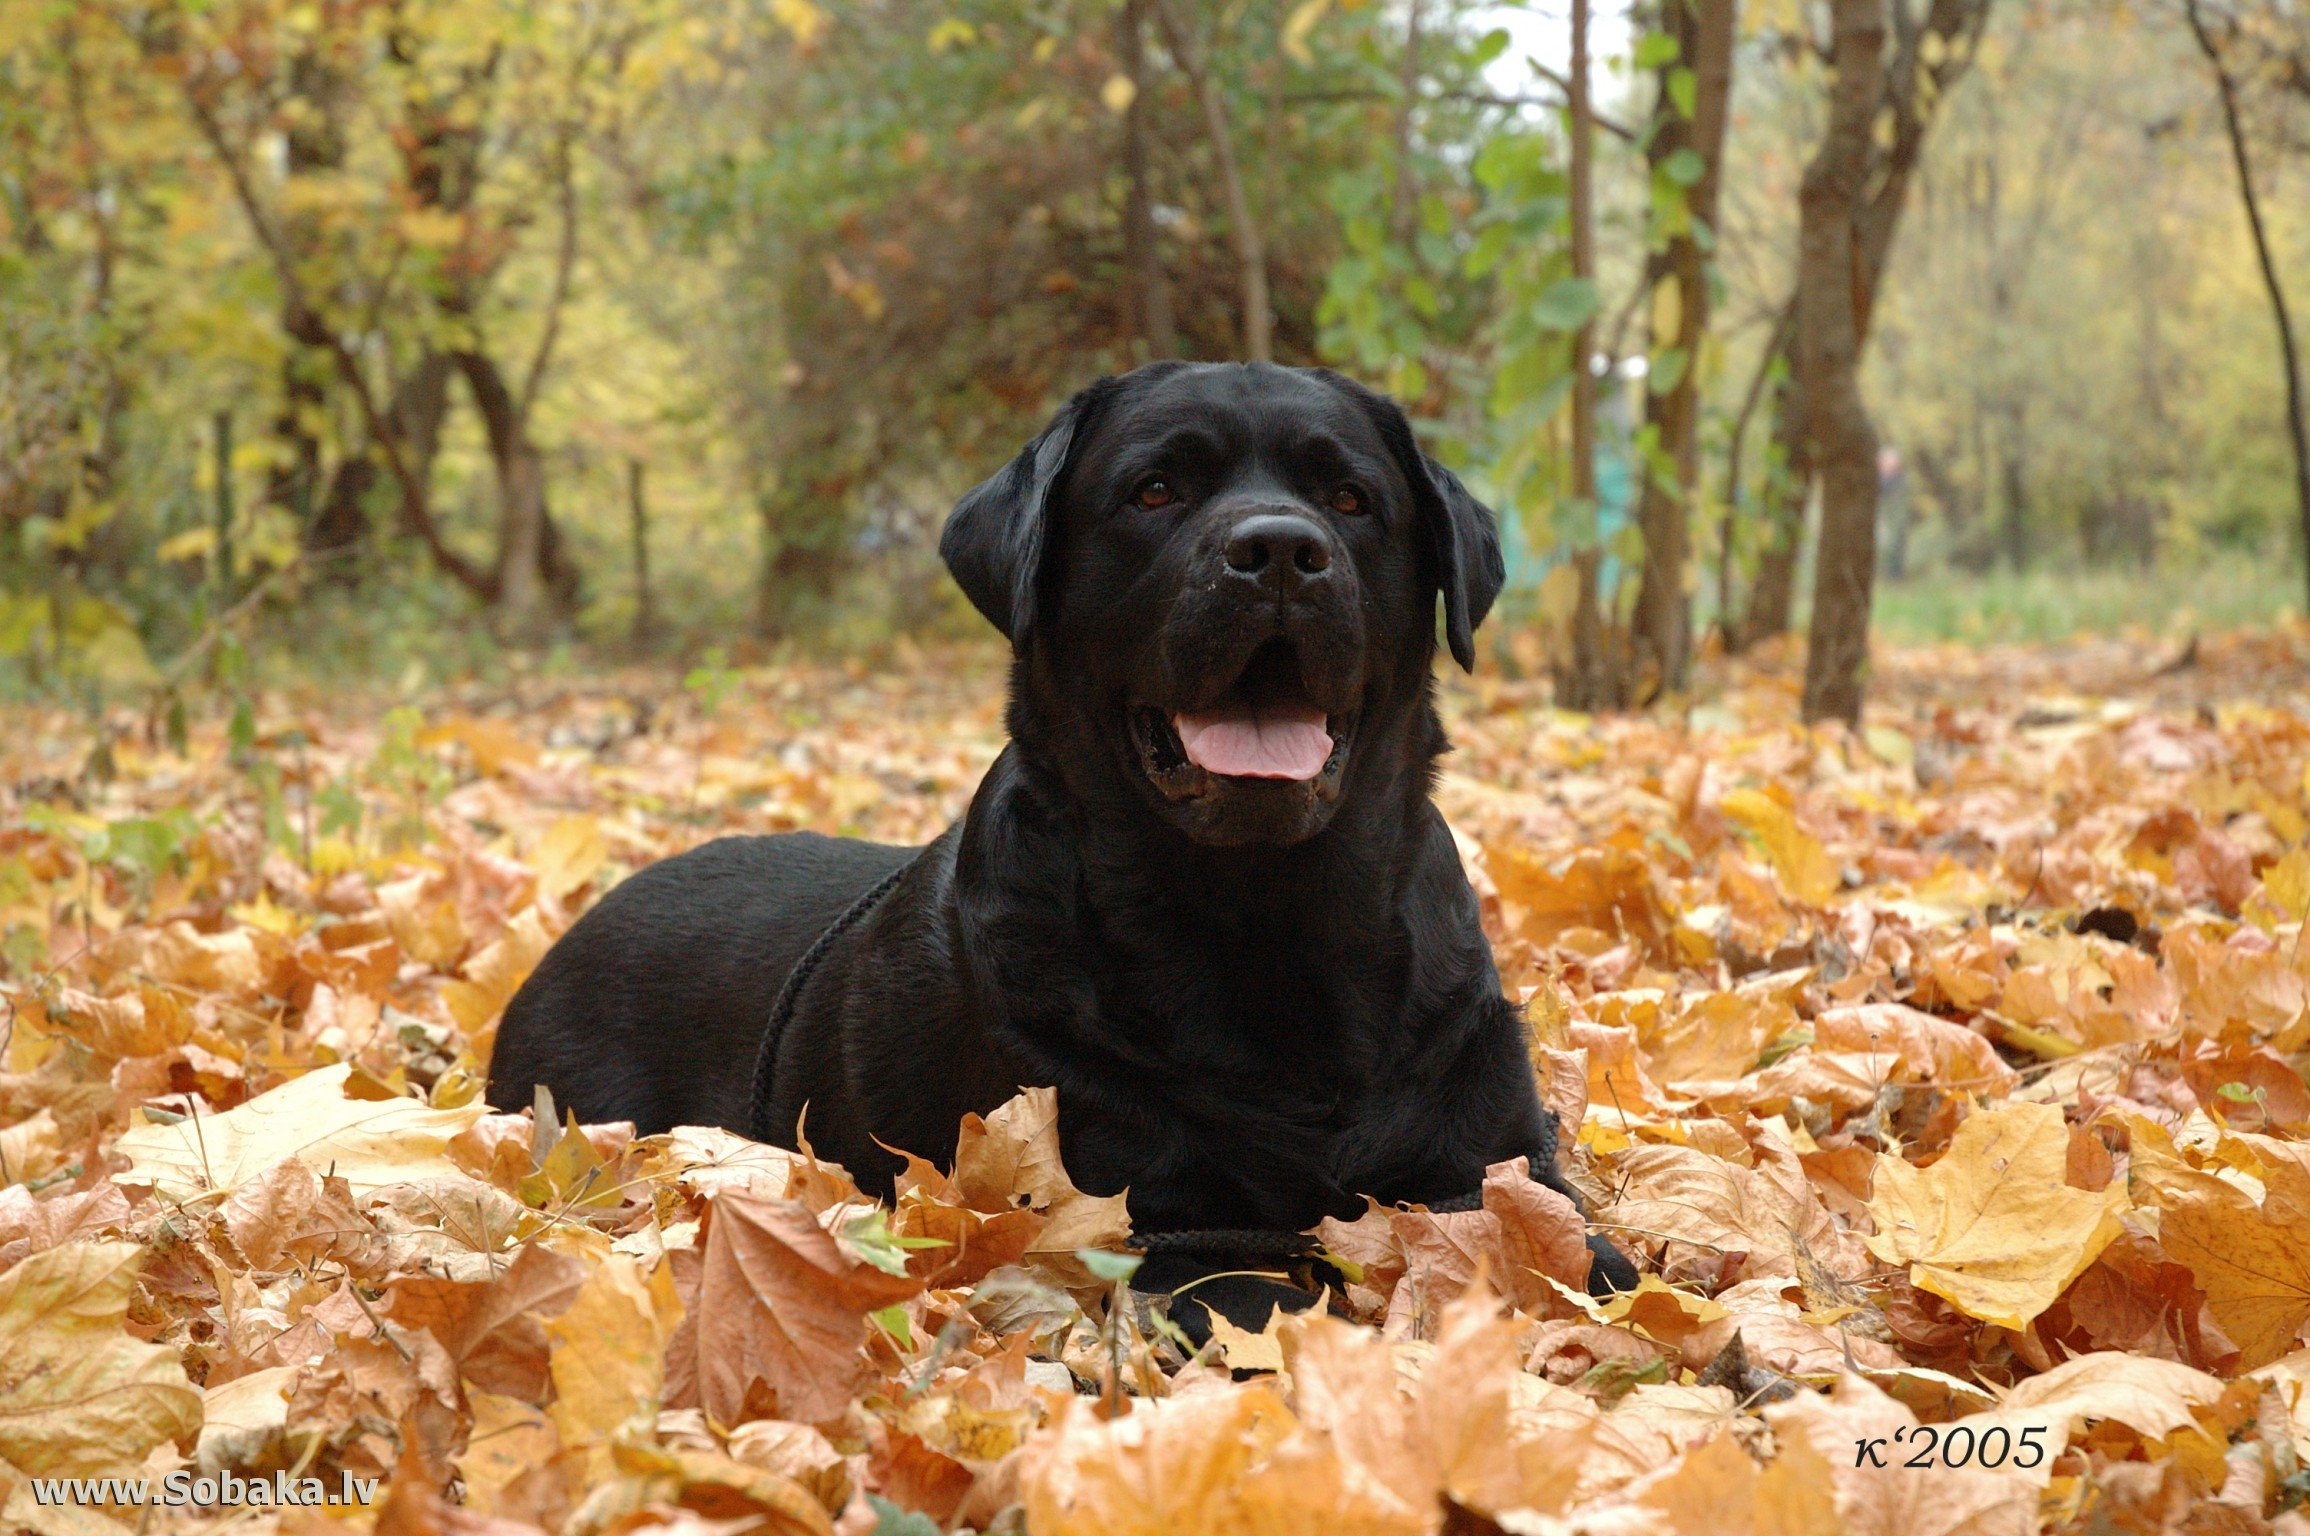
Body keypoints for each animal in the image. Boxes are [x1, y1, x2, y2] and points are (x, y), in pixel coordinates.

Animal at [489, 360, 1644, 1302]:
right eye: (1156, 490)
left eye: (1352, 499)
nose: (1279, 551)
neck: (1266, 924)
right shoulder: (1150, 1220)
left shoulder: (1500, 1170)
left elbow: (1604, 1270)